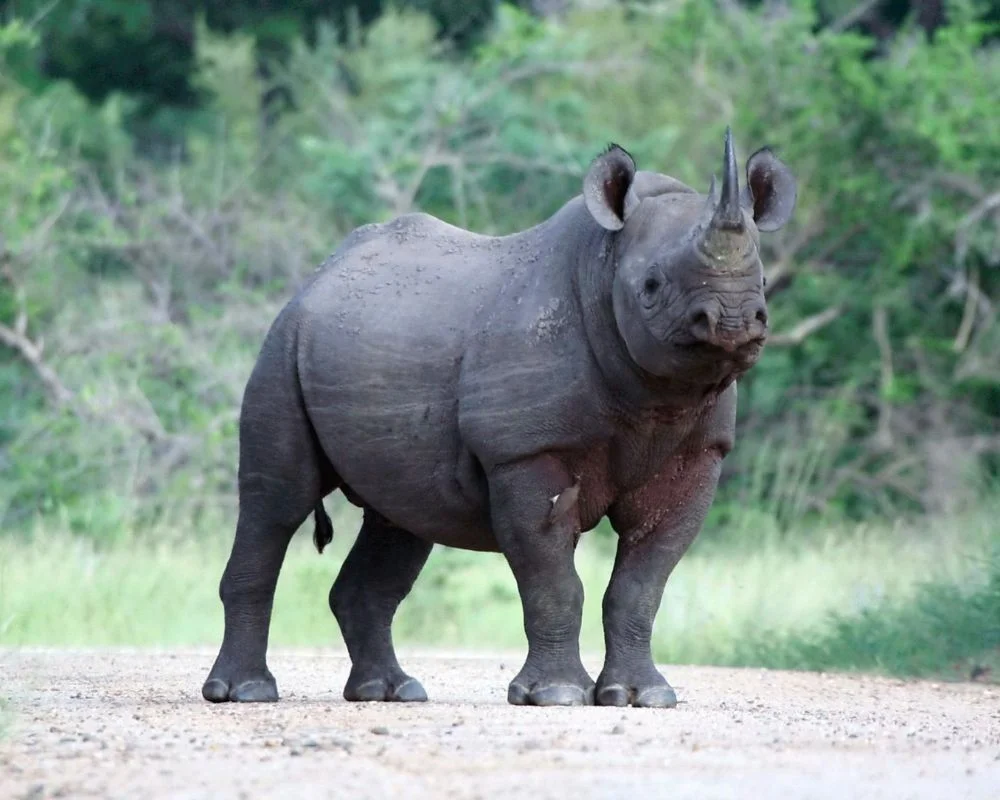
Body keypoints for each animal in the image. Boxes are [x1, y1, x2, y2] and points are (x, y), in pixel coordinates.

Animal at [202, 128, 796, 707]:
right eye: (650, 286)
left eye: (764, 283)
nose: (733, 320)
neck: (603, 264)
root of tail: (316, 279)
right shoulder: (524, 450)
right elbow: (553, 578)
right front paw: (556, 695)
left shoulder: (697, 453)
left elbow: (642, 582)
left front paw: (643, 696)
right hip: (282, 346)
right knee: (277, 503)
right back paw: (246, 692)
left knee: (401, 519)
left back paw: (390, 693)